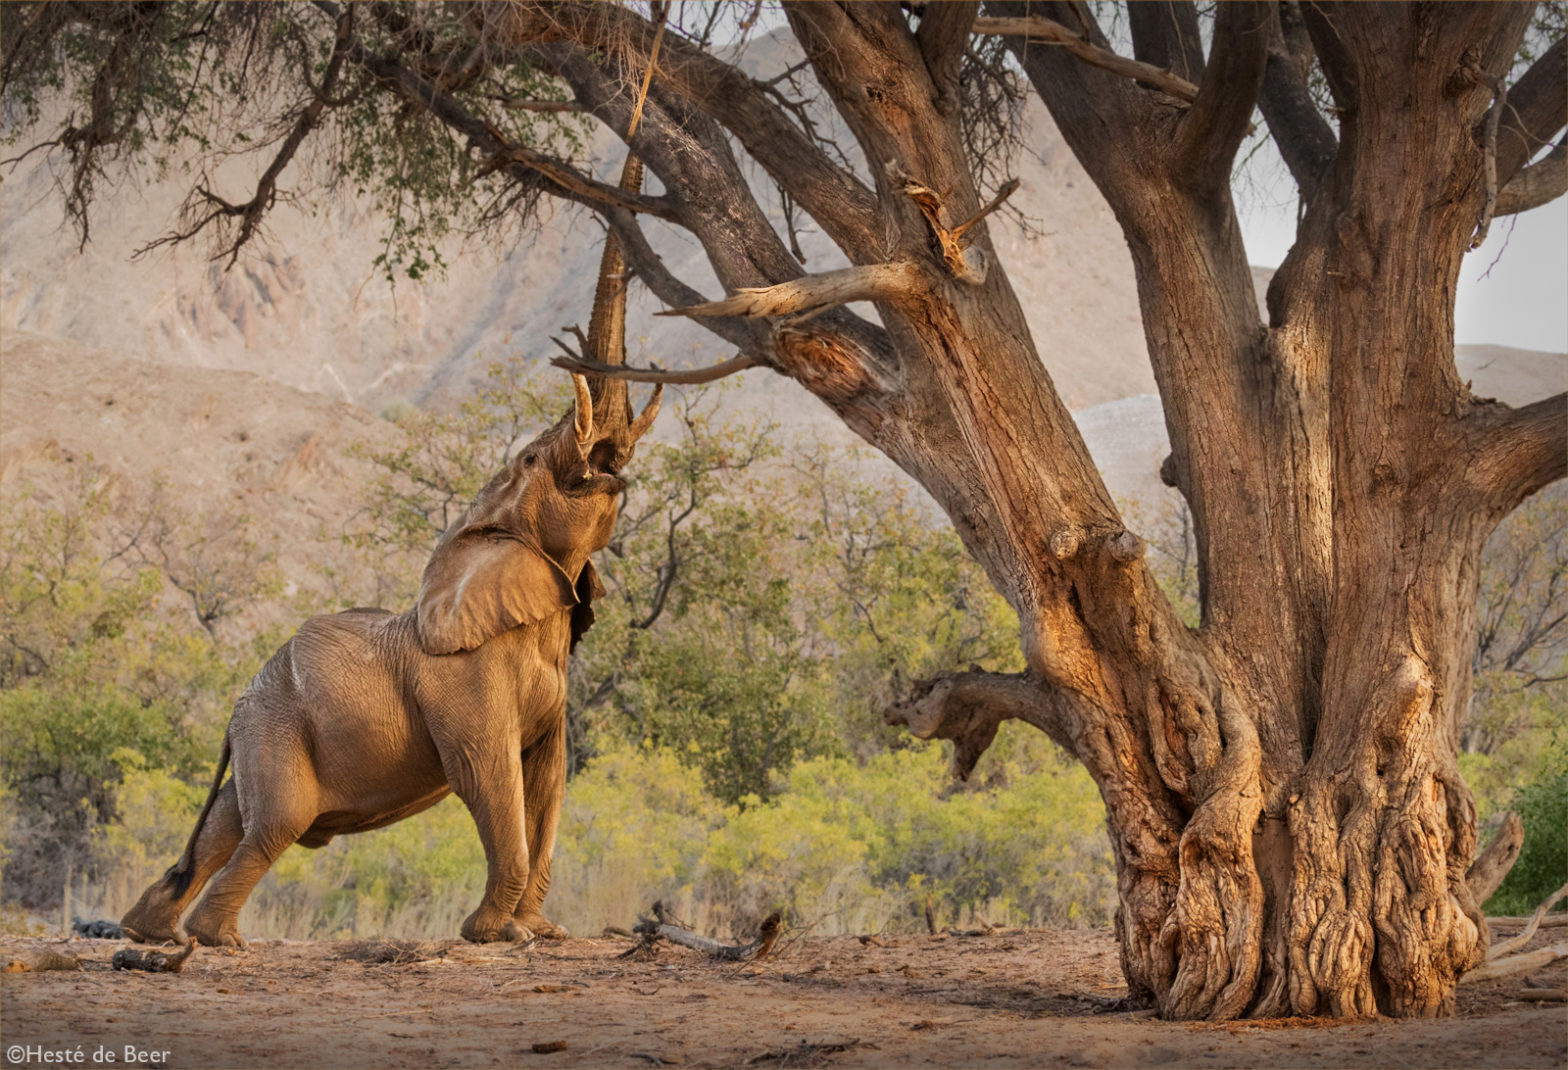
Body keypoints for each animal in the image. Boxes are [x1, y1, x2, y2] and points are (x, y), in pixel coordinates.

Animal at [122, 373, 658, 941]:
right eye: (532, 457)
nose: (609, 467)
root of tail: (234, 711)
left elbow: (546, 782)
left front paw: (542, 931)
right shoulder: (464, 677)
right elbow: (487, 774)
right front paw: (497, 934)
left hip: (265, 730)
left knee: (232, 816)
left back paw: (151, 932)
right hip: (275, 726)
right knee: (276, 822)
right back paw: (212, 937)